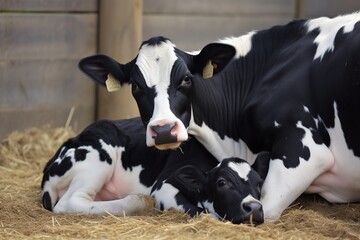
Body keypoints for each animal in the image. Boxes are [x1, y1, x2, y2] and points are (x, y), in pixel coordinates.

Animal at [40, 117, 268, 224]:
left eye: (259, 184)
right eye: (222, 182)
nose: (254, 208)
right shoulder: (162, 184)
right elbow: (194, 209)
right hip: (97, 159)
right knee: (70, 202)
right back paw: (137, 202)